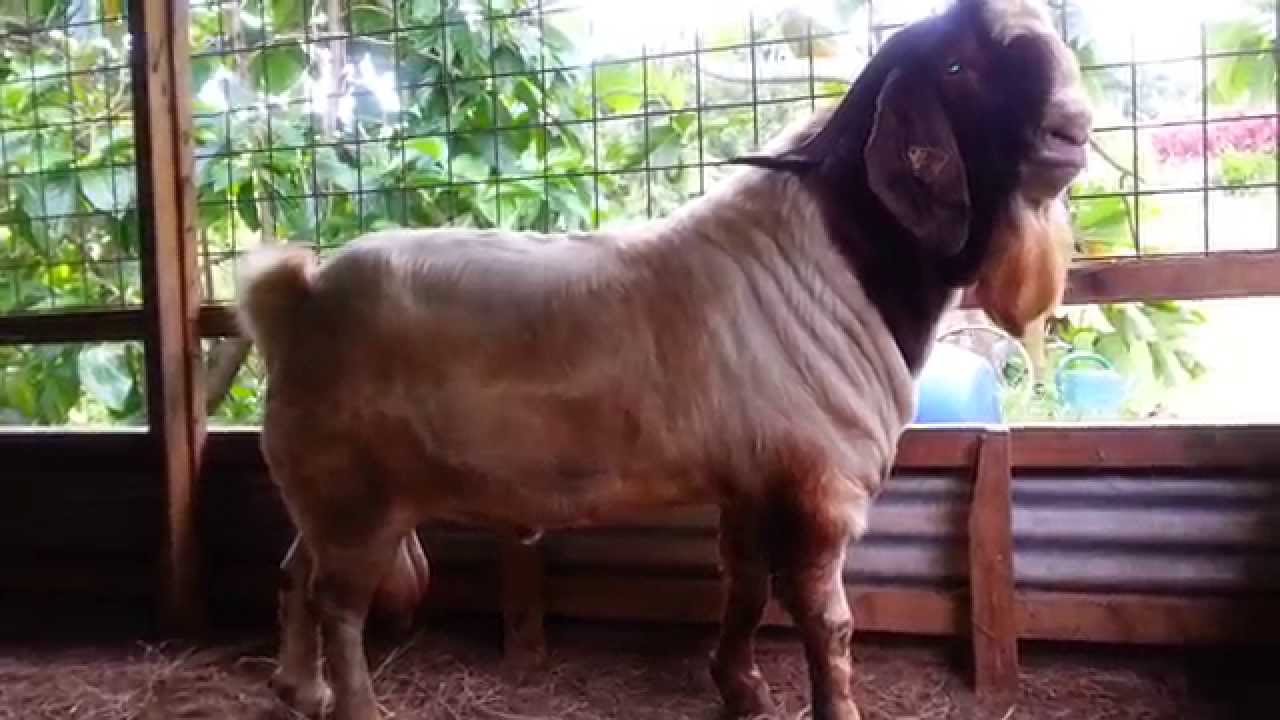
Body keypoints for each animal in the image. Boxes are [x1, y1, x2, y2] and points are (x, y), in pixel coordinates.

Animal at [236, 1, 1091, 718]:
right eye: (958, 65)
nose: (1073, 127)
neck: (838, 253)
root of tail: (295, 296)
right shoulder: (821, 487)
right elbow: (827, 623)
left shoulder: (755, 480)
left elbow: (743, 586)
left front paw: (741, 690)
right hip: (357, 496)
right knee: (339, 604)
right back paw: (353, 705)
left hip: (324, 492)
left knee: (295, 573)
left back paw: (299, 687)